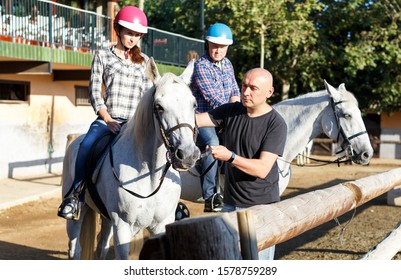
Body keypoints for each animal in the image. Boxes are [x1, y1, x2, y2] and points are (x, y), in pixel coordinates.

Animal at [61, 58, 199, 260]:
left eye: (194, 105)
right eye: (159, 107)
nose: (188, 154)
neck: (149, 174)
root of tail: (75, 141)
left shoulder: (161, 224)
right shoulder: (123, 226)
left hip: (106, 218)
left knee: (101, 247)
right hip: (79, 213)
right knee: (74, 249)